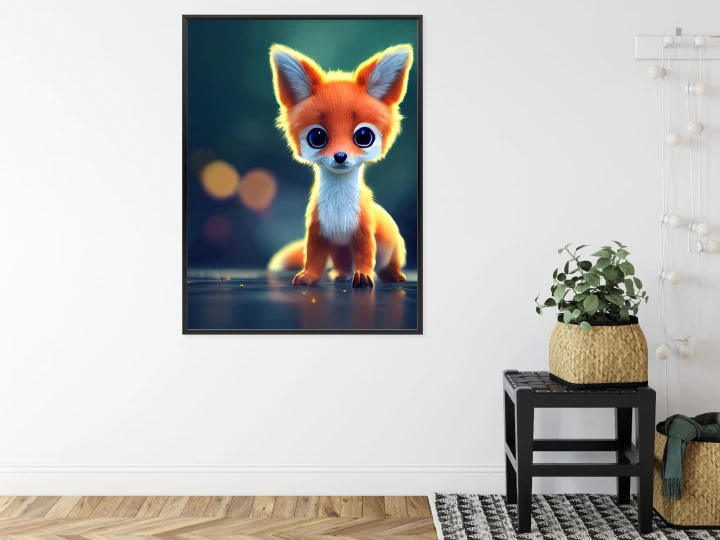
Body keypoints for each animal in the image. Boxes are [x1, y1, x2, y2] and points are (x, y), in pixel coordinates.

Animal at [266, 43, 414, 288]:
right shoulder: (318, 233)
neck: (338, 208)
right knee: (342, 265)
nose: (340, 156)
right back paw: (341, 275)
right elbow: (314, 259)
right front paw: (308, 277)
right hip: (340, 251)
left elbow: (366, 257)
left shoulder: (363, 233)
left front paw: (363, 276)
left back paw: (393, 275)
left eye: (363, 136)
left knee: (388, 265)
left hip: (394, 249)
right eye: (317, 137)